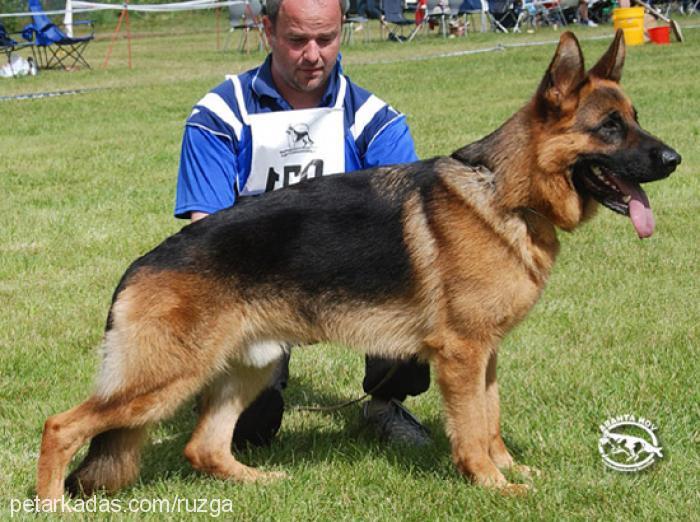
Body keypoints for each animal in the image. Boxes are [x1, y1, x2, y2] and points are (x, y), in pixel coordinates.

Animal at [37, 29, 680, 500]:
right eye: (609, 127)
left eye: (636, 117)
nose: (675, 158)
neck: (506, 193)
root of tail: (140, 265)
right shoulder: (463, 355)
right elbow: (473, 431)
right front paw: (495, 487)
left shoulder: (487, 354)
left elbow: (492, 421)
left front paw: (515, 472)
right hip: (164, 378)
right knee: (60, 427)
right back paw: (52, 505)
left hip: (247, 367)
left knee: (205, 447)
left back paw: (258, 481)